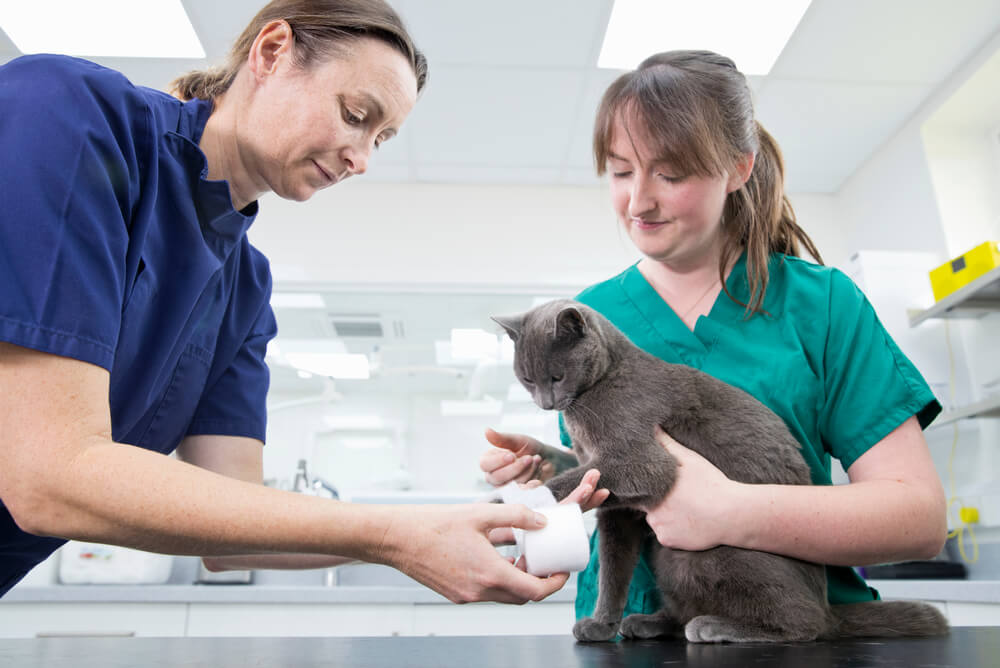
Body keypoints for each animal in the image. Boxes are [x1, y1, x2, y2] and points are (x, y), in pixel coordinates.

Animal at [492, 300, 944, 644]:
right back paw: (649, 622)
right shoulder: (617, 509)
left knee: (807, 624)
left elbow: (595, 481)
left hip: (706, 554)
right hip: (668, 560)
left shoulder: (641, 459)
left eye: (556, 376)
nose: (546, 403)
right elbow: (614, 570)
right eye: (527, 379)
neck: (603, 383)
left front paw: (515, 501)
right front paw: (603, 625)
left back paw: (714, 627)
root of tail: (829, 606)